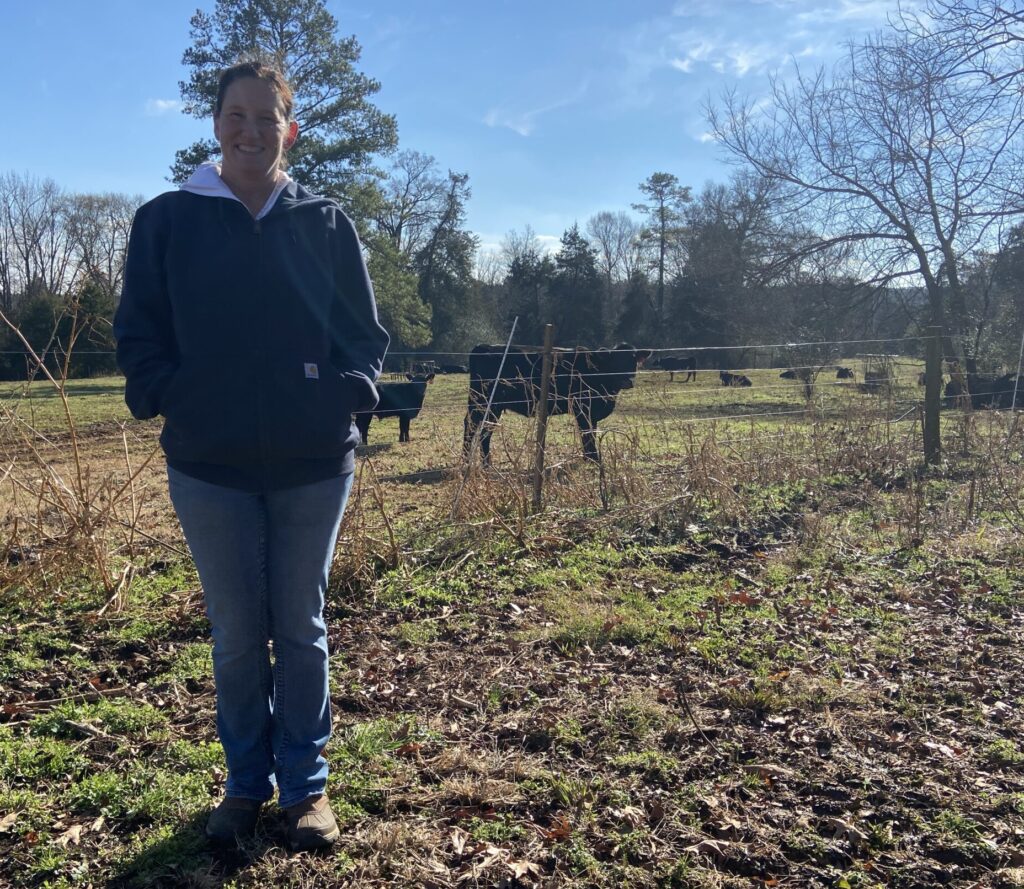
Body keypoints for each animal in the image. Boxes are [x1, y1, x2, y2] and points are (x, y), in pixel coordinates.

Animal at [462, 342, 651, 464]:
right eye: (615, 361)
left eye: (633, 360)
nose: (627, 381)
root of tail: (483, 347)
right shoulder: (582, 408)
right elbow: (587, 433)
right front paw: (593, 459)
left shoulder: (592, 411)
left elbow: (591, 432)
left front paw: (589, 458)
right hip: (482, 402)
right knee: (472, 427)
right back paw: (468, 460)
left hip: (491, 407)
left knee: (484, 433)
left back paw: (485, 463)